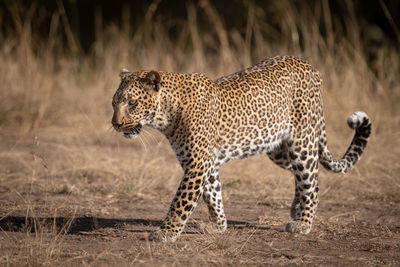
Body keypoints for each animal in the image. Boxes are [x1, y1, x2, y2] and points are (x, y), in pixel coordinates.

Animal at [110, 55, 372, 243]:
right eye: (114, 103)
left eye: (132, 103)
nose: (116, 124)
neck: (167, 114)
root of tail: (310, 66)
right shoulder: (202, 163)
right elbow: (213, 195)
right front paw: (218, 226)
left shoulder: (197, 164)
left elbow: (181, 200)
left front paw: (166, 232)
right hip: (277, 149)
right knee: (301, 175)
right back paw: (296, 209)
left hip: (302, 142)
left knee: (313, 180)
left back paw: (303, 222)